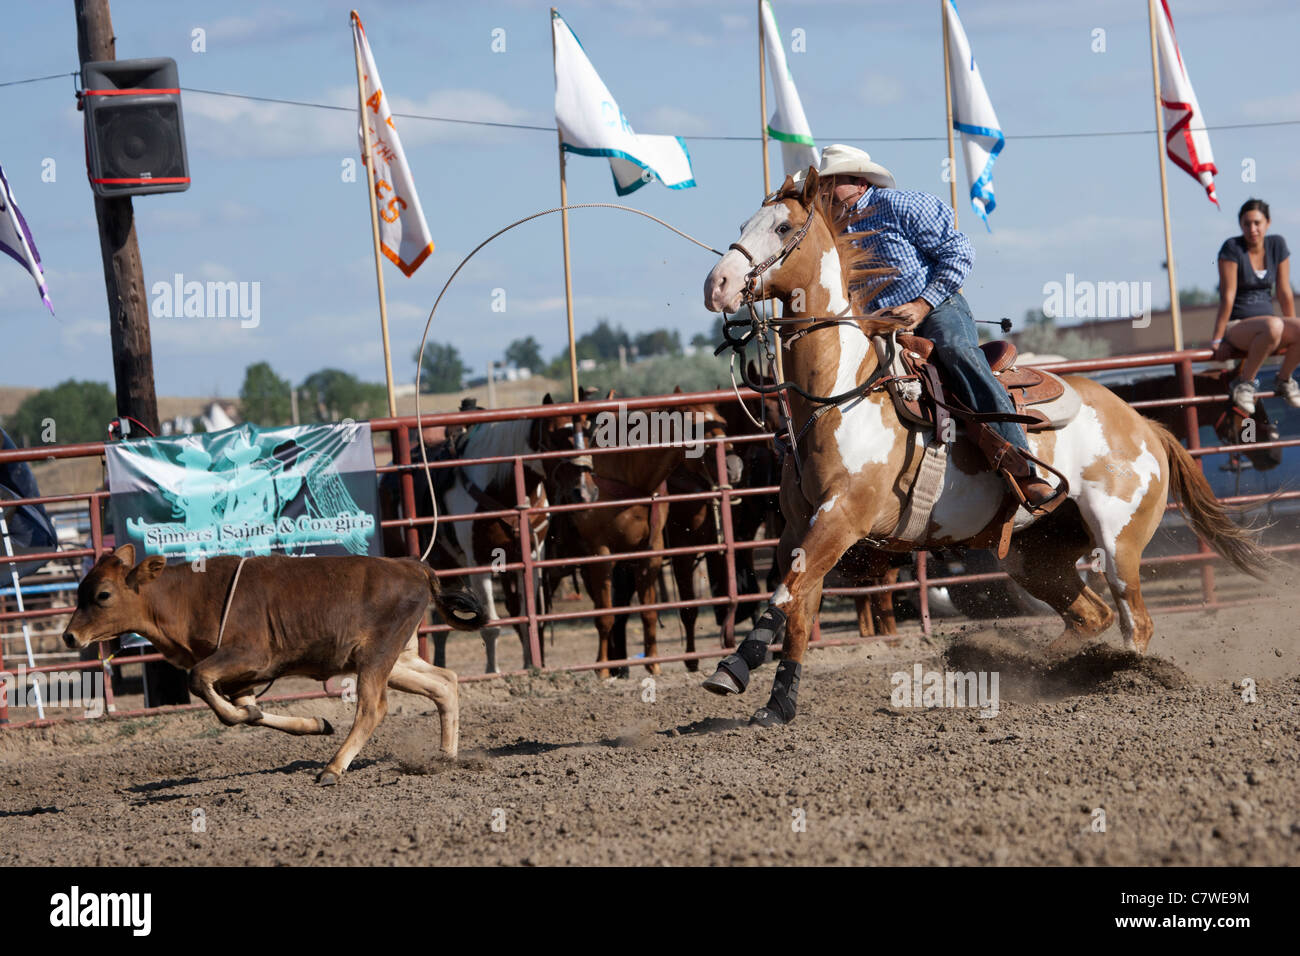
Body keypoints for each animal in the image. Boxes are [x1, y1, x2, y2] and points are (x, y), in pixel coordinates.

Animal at [63, 546, 488, 785]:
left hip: (377, 657)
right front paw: (314, 723)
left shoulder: (247, 656)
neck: (188, 597)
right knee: (444, 683)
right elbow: (248, 711)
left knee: (373, 708)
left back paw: (333, 768)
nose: (69, 636)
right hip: (394, 659)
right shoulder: (241, 678)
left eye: (102, 595)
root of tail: (412, 567)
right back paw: (446, 757)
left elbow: (202, 684)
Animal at [702, 170, 1268, 723]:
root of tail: (1143, 424)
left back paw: (1124, 678)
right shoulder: (802, 527)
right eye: (745, 223)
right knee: (1093, 615)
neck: (844, 391)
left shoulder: (842, 518)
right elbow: (797, 608)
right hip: (1035, 555)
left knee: (1136, 621)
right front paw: (777, 703)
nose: (717, 284)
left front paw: (732, 668)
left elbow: (786, 593)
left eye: (781, 228)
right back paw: (1045, 673)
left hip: (1118, 541)